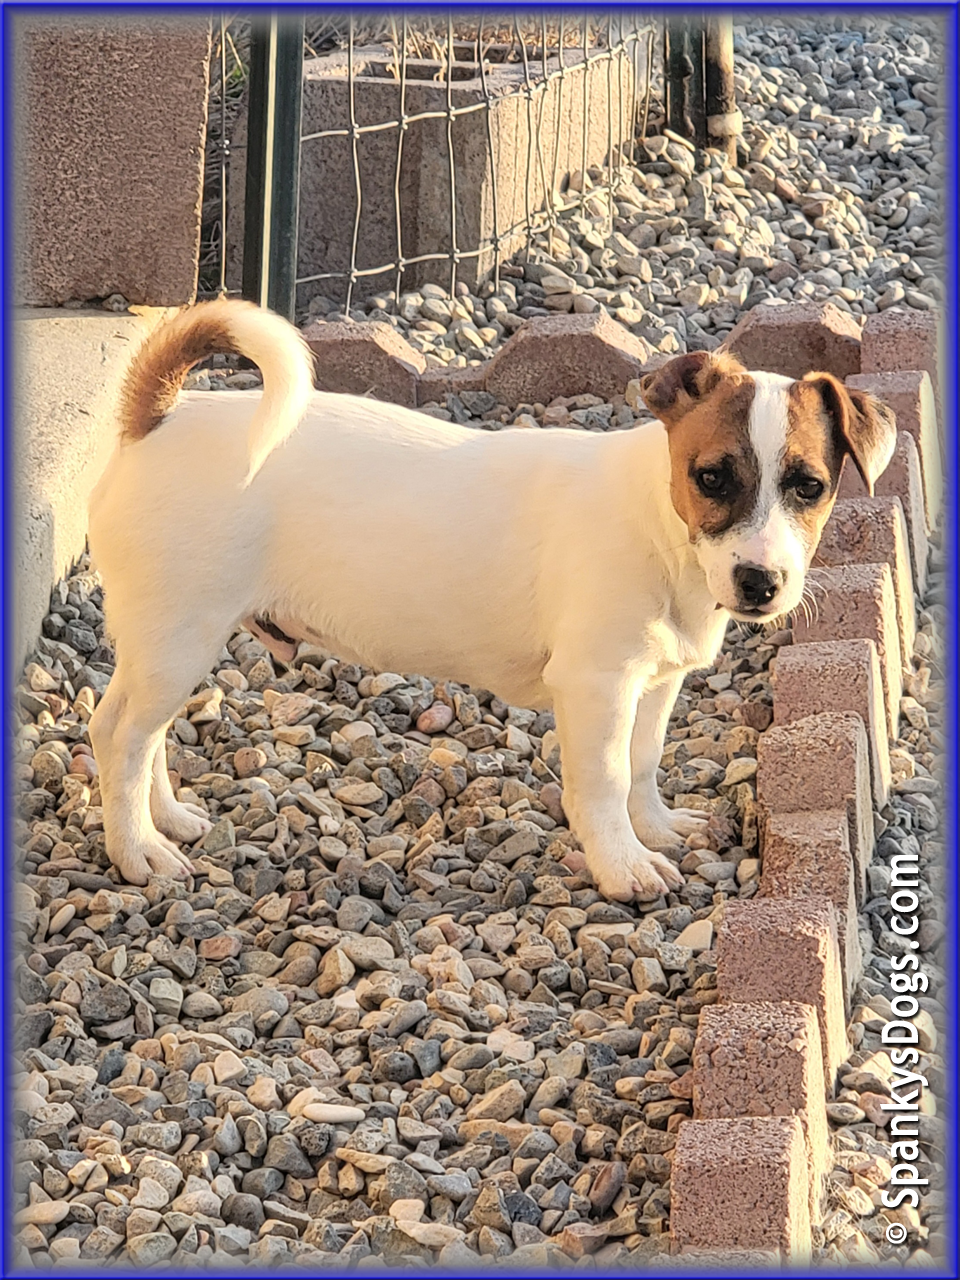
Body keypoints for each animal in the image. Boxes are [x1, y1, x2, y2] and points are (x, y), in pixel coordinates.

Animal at [87, 299, 896, 896]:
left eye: (809, 487)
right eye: (712, 477)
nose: (760, 583)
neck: (662, 530)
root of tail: (160, 415)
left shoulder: (655, 682)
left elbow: (641, 763)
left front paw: (657, 829)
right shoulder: (597, 685)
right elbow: (604, 781)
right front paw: (624, 866)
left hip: (168, 645)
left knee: (139, 733)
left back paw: (168, 821)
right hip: (180, 634)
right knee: (120, 736)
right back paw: (136, 852)